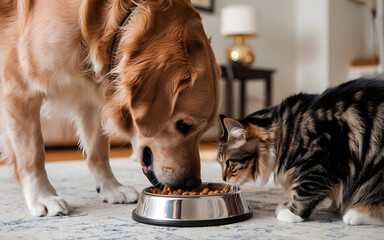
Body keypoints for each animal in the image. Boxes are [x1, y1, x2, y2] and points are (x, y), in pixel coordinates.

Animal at [0, 0, 220, 217]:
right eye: (183, 125)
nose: (193, 183)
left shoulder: (91, 101)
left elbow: (98, 151)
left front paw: (111, 189)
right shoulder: (18, 87)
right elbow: (33, 153)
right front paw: (42, 197)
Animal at [218, 78, 382, 224]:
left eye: (228, 163)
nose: (223, 179)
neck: (285, 133)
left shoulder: (322, 162)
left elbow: (305, 191)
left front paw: (291, 213)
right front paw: (287, 205)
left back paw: (355, 214)